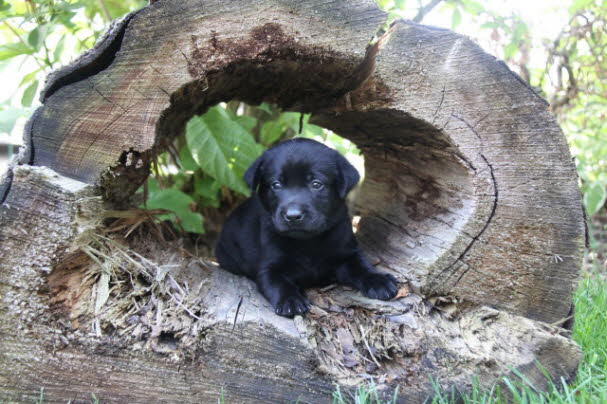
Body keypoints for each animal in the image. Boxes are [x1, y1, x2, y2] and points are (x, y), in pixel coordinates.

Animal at [215, 137, 400, 318]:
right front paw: (290, 300)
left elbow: (361, 266)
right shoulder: (269, 267)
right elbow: (277, 283)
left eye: (316, 184)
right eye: (276, 185)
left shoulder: (347, 252)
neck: (308, 242)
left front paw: (378, 280)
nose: (293, 216)